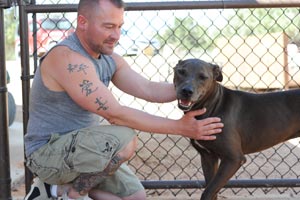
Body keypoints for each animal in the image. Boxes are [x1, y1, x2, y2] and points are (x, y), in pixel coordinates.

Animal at [172, 58, 300, 200]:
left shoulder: (234, 159)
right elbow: (212, 191)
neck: (212, 106)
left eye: (203, 77)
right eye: (181, 72)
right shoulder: (208, 157)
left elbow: (208, 191)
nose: (186, 91)